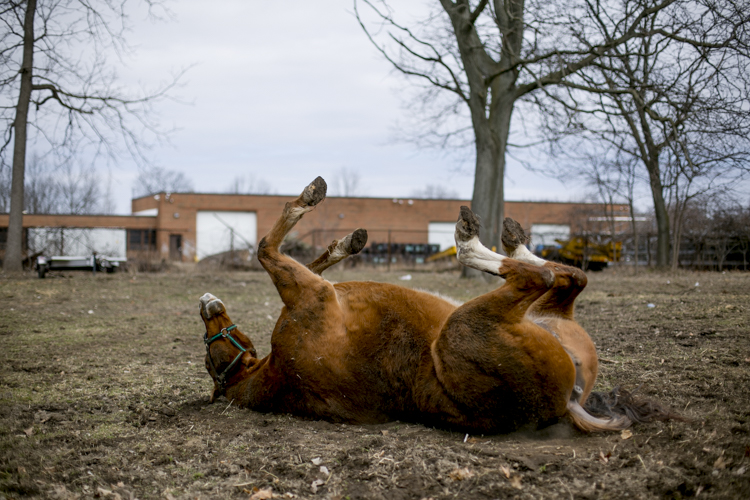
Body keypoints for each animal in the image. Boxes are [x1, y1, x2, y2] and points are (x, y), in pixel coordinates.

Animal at [200, 178, 656, 432]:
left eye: (210, 346)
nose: (206, 305)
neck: (272, 372)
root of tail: (568, 403)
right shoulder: (312, 293)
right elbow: (266, 246)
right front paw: (309, 201)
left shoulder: (312, 287)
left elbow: (294, 255)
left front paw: (345, 244)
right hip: (464, 325)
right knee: (542, 278)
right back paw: (473, 240)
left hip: (546, 317)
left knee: (570, 278)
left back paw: (509, 239)